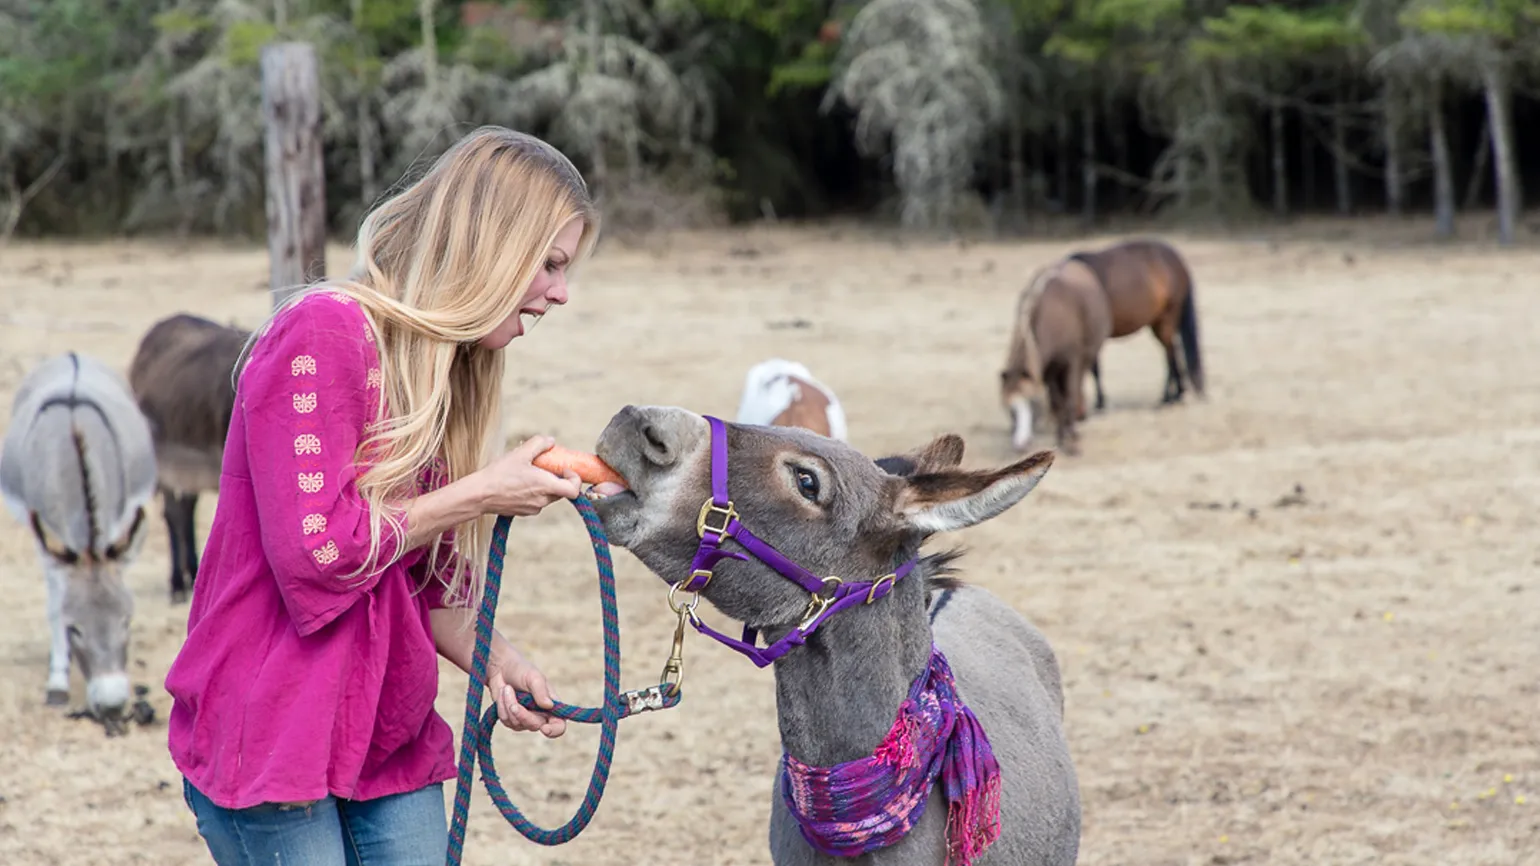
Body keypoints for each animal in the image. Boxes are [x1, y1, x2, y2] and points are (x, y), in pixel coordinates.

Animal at [0, 351, 158, 721]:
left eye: (127, 621)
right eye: (75, 629)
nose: (112, 707)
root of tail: (71, 356)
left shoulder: (115, 524)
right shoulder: (45, 536)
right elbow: (55, 606)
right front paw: (57, 683)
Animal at [997, 255, 1108, 456]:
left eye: (1034, 404)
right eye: (1011, 409)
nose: (1021, 444)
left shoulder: (1072, 362)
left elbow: (1069, 398)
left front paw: (1073, 442)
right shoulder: (1048, 370)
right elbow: (1057, 401)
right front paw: (1061, 438)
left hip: (1085, 359)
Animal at [1071, 235, 1201, 403]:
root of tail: (1179, 263)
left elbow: (1094, 368)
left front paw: (1100, 401)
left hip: (1167, 319)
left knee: (1170, 353)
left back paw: (1168, 396)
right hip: (1158, 322)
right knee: (1172, 352)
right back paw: (1177, 393)